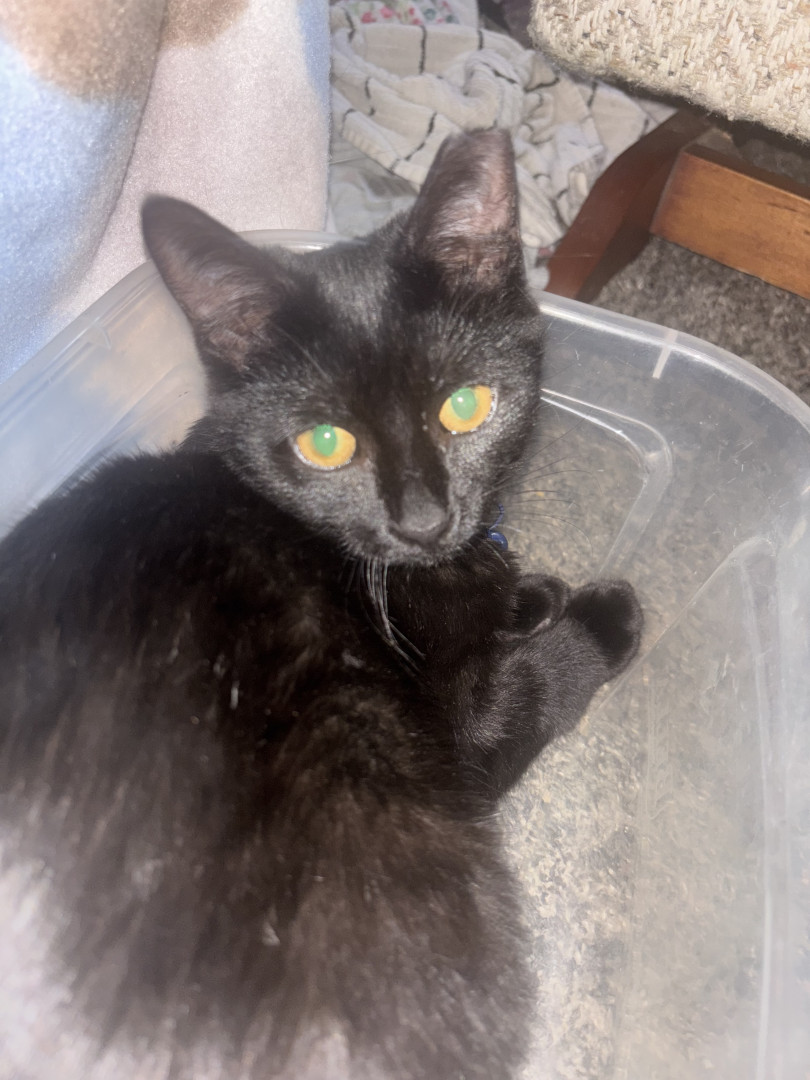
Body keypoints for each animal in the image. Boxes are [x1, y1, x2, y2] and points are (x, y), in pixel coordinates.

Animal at [0, 130, 641, 1080]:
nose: (424, 520)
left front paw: (529, 590)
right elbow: (532, 687)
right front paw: (597, 615)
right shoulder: (455, 750)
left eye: (466, 405)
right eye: (326, 445)